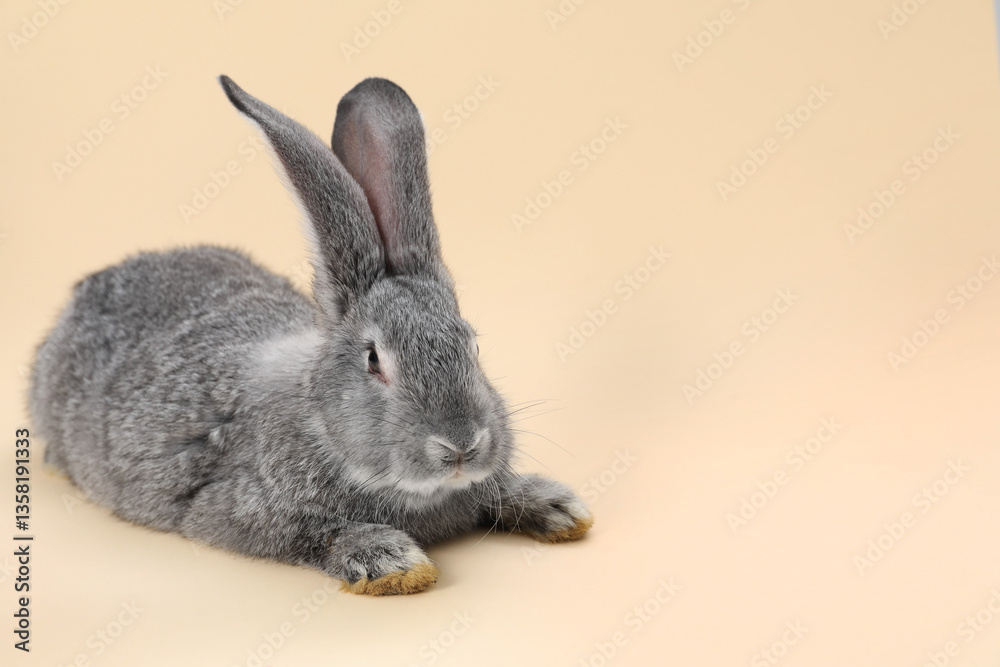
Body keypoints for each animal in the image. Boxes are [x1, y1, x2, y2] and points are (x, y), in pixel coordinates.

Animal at [28, 75, 593, 595]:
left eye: (472, 346)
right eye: (373, 359)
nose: (460, 446)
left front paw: (559, 507)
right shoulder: (244, 511)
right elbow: (316, 535)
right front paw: (393, 563)